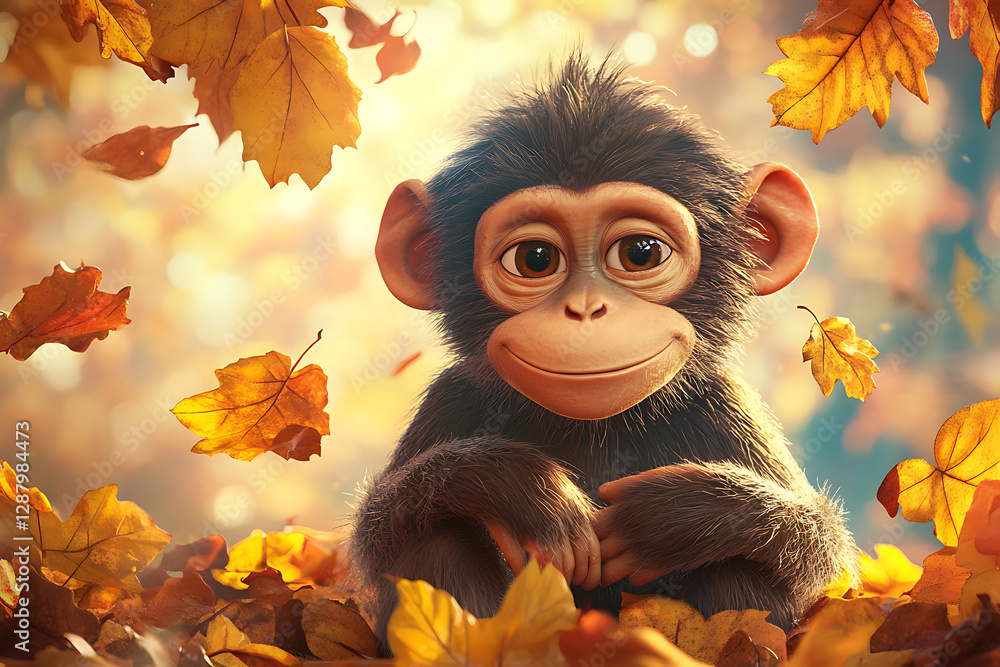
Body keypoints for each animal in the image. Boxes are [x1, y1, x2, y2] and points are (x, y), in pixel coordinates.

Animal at [348, 52, 857, 655]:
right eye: (535, 259)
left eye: (640, 253)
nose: (587, 309)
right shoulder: (451, 398)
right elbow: (378, 529)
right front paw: (525, 494)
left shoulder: (729, 403)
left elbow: (820, 556)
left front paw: (675, 515)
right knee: (438, 535)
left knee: (741, 564)